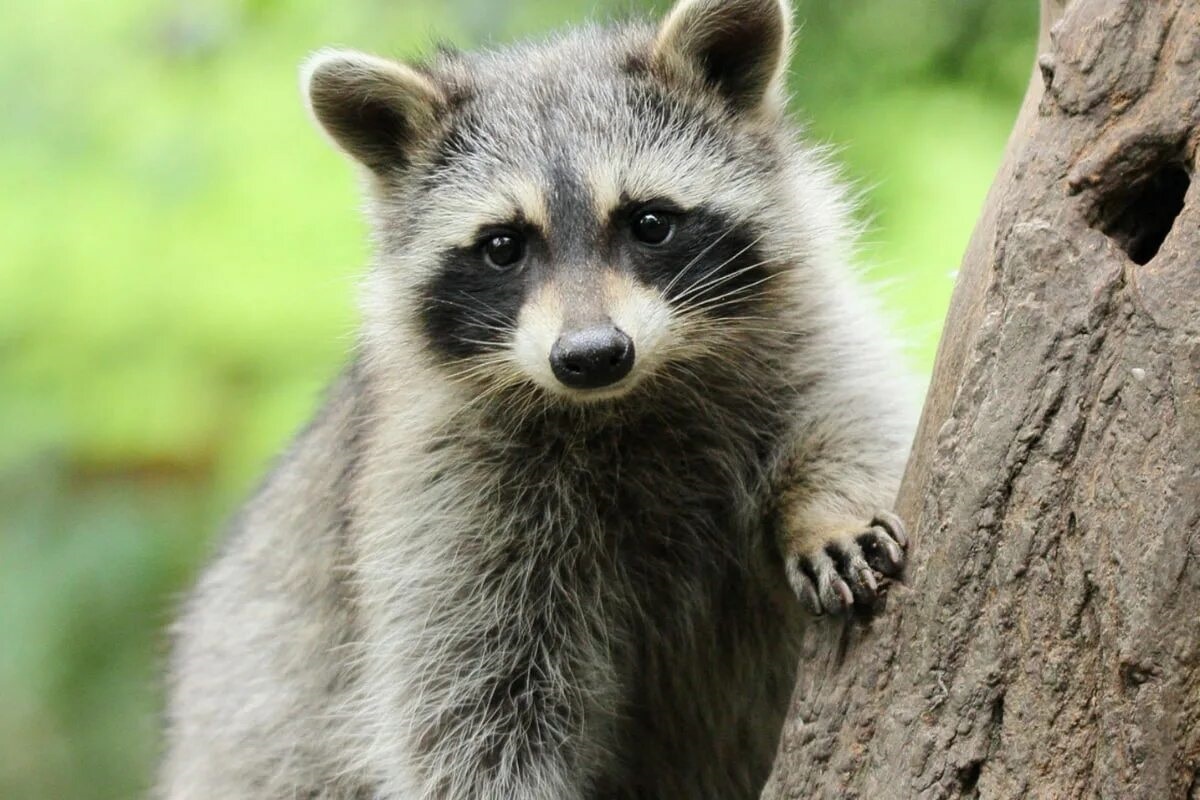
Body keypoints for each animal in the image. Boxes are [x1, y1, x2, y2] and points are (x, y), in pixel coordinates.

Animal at [158, 0, 917, 797]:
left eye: (649, 222)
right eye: (502, 246)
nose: (591, 355)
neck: (626, 400)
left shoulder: (804, 332)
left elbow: (854, 411)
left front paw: (828, 508)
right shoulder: (445, 494)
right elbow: (473, 710)